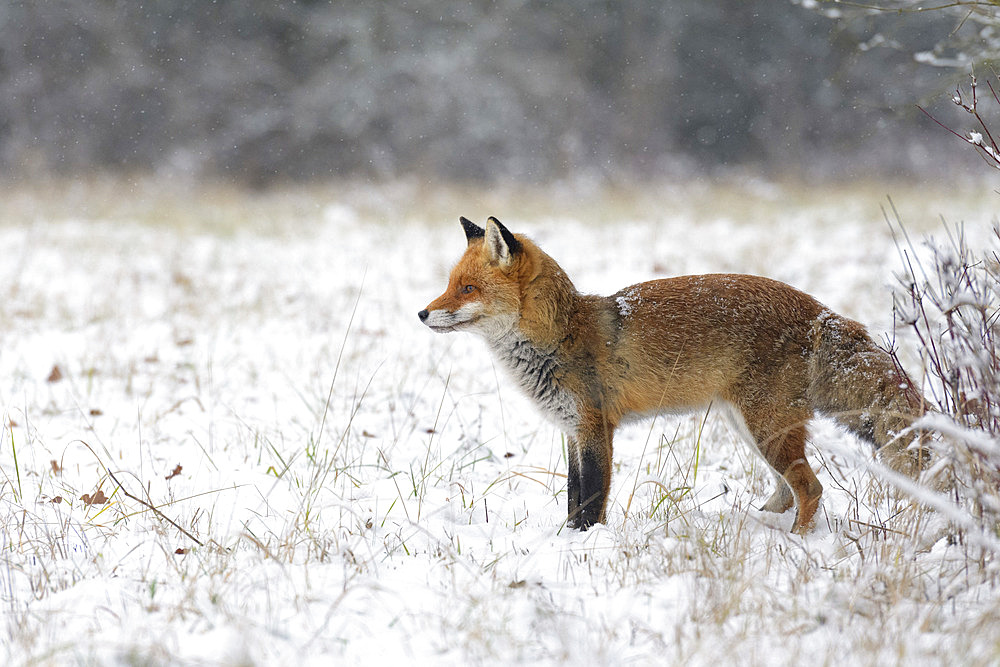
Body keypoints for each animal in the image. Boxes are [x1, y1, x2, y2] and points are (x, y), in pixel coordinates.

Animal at [418, 217, 924, 536]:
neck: (562, 336)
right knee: (786, 490)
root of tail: (820, 311)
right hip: (751, 427)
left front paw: (582, 545)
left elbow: (590, 500)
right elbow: (573, 494)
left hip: (766, 429)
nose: (422, 314)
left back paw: (797, 542)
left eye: (467, 289)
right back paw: (759, 524)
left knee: (809, 488)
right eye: (449, 284)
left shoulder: (595, 427)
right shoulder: (572, 431)